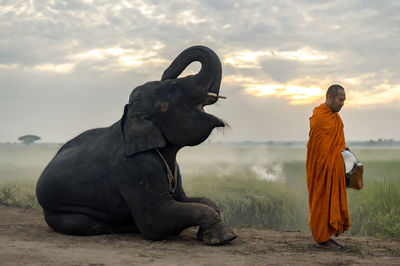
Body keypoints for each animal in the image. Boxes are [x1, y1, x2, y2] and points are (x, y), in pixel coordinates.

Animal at [36, 45, 236, 245]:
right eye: (171, 86)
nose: (166, 72)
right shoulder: (135, 168)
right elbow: (158, 220)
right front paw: (225, 238)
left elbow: (194, 200)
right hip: (60, 213)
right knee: (84, 223)